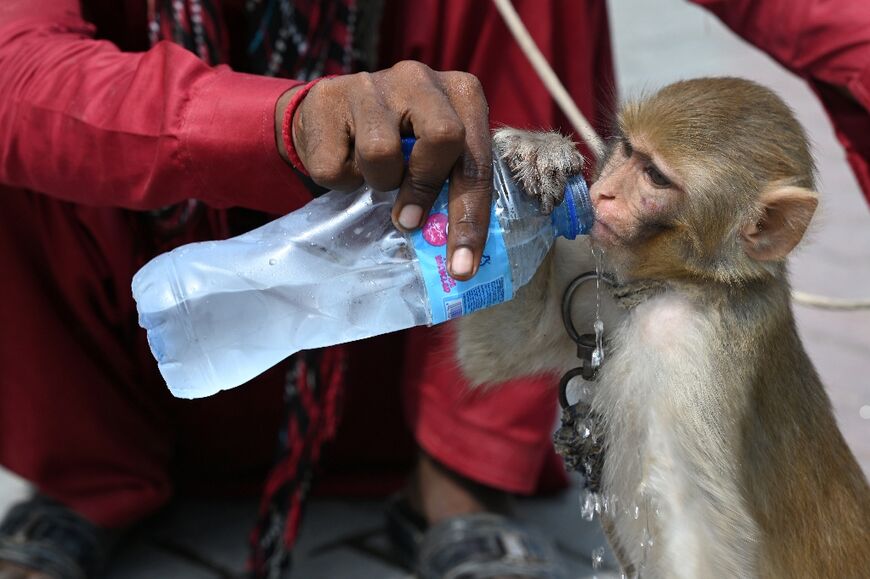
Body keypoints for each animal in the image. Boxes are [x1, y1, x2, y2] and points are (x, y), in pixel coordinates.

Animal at [460, 78, 870, 579]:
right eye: (628, 150)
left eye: (655, 177)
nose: (602, 194)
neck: (689, 285)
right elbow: (503, 342)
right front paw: (534, 152)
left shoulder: (690, 365)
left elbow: (697, 540)